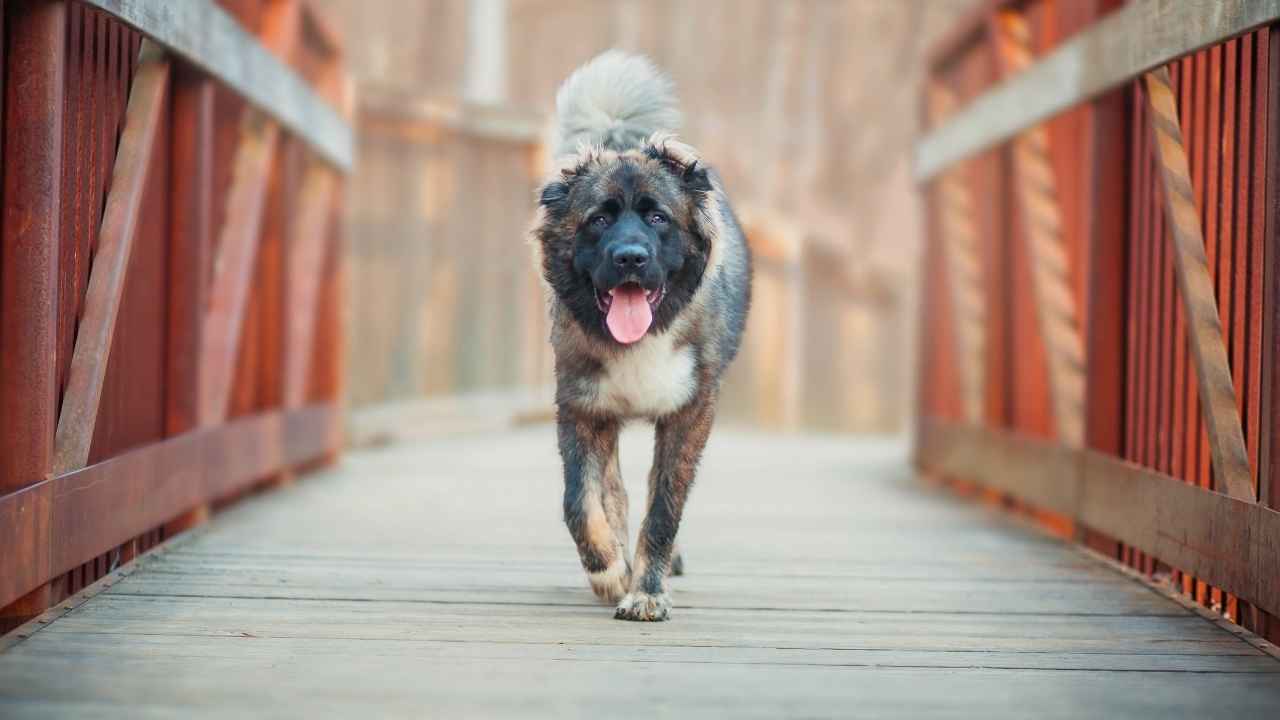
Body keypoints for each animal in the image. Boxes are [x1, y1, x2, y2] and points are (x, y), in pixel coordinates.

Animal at [529, 53, 747, 620]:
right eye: (598, 220)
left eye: (657, 217)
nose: (630, 257)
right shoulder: (583, 409)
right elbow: (581, 501)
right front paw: (608, 570)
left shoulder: (689, 414)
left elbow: (664, 509)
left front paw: (646, 591)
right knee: (616, 494)